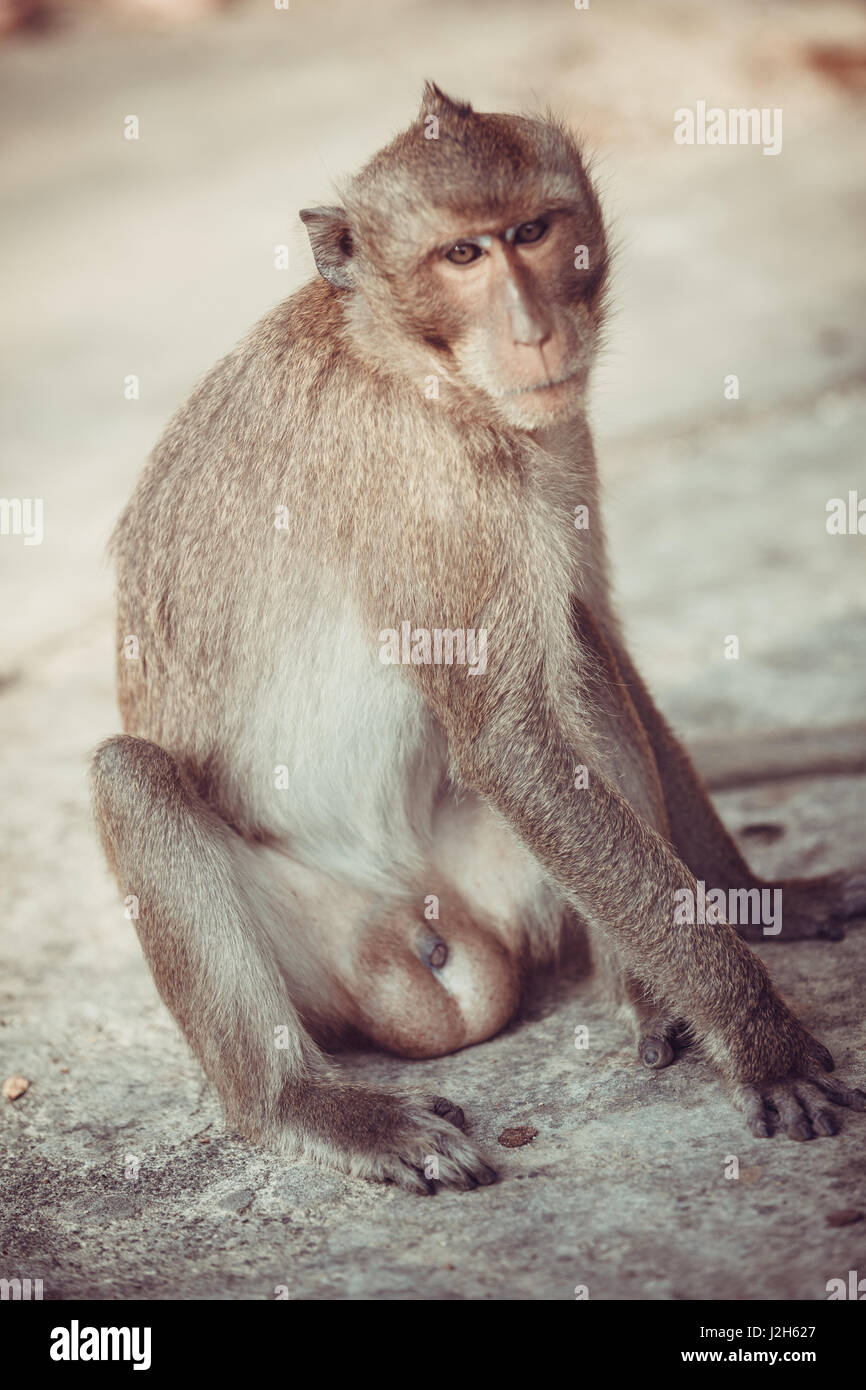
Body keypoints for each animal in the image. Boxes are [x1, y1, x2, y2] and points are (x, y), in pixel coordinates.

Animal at [89, 84, 866, 1195]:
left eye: (532, 232)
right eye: (460, 255)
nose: (534, 330)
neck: (416, 364)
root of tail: (417, 924)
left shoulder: (555, 439)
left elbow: (592, 631)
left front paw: (762, 902)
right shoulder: (436, 495)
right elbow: (505, 737)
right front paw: (765, 1043)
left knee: (577, 658)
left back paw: (649, 995)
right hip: (316, 942)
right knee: (131, 775)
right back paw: (306, 1106)